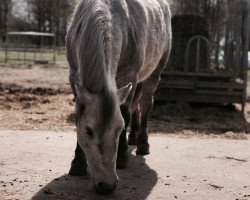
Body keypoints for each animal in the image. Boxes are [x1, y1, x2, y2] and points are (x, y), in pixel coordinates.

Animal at [66, 0, 172, 195]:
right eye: (89, 131)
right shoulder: (73, 76)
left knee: (145, 104)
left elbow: (125, 113)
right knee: (137, 105)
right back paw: (133, 137)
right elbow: (79, 114)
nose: (107, 185)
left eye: (119, 128)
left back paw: (142, 143)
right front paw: (77, 163)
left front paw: (122, 157)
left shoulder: (128, 76)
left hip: (155, 71)